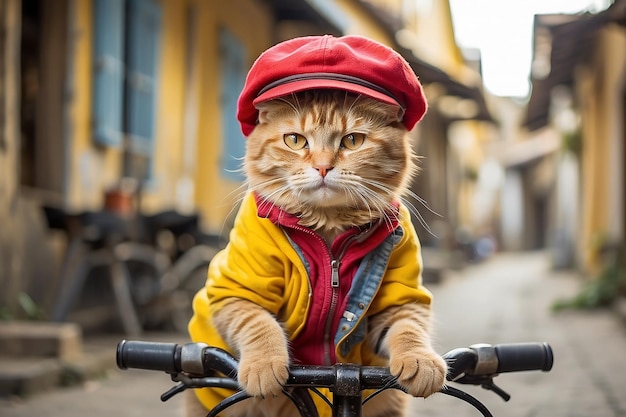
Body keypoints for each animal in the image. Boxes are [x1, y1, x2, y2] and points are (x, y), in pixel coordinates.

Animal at [183, 89, 446, 414]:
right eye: (295, 140)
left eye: (352, 140)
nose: (322, 167)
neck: (328, 236)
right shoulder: (235, 290)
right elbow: (258, 324)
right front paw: (263, 365)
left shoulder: (399, 300)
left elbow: (409, 328)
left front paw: (421, 360)